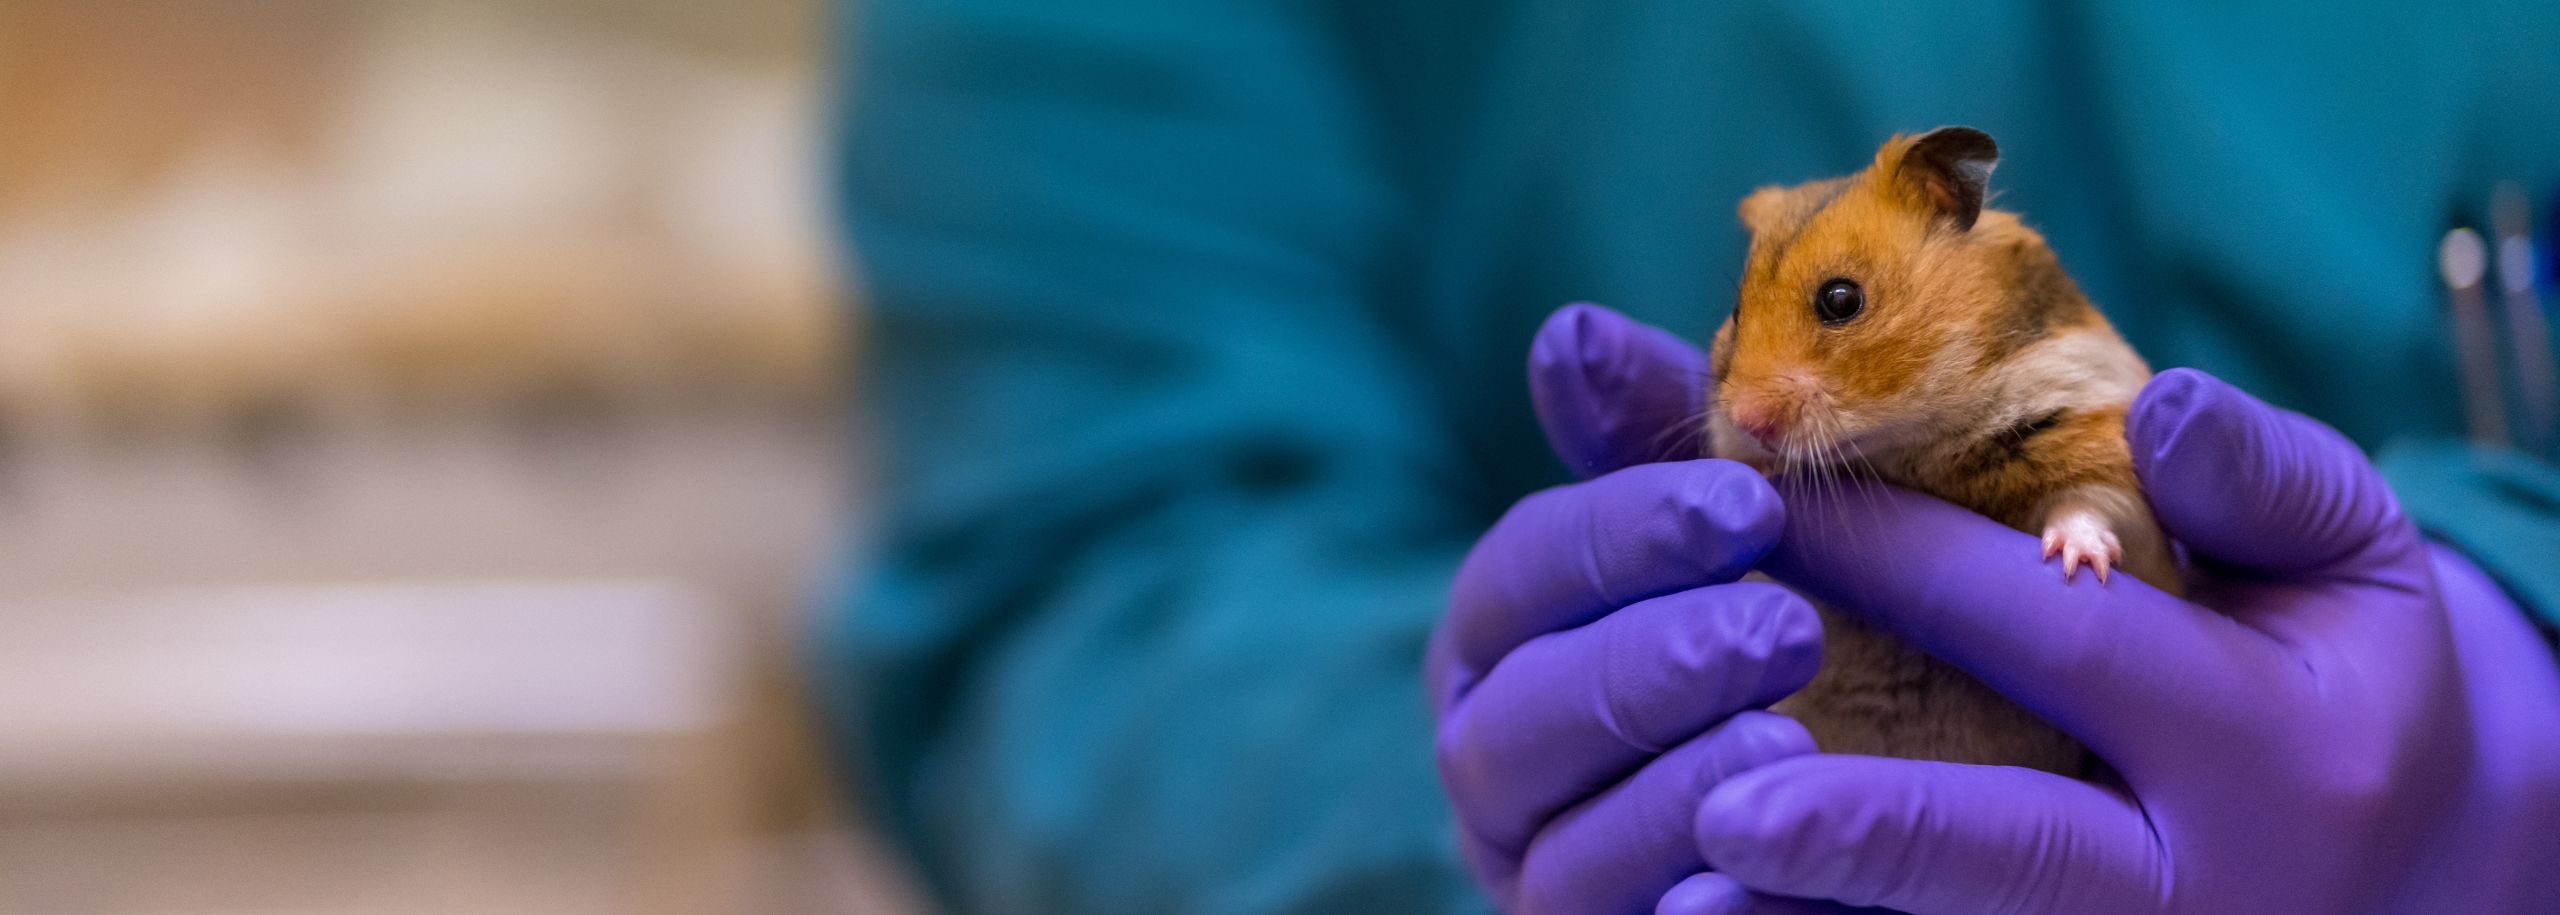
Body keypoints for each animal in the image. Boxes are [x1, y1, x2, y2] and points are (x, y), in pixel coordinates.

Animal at [1705, 127, 2183, 775]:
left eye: (1840, 299)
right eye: (1735, 314)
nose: (1748, 422)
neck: (1912, 441)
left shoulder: (2093, 433)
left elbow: (2089, 505)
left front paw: (2076, 566)